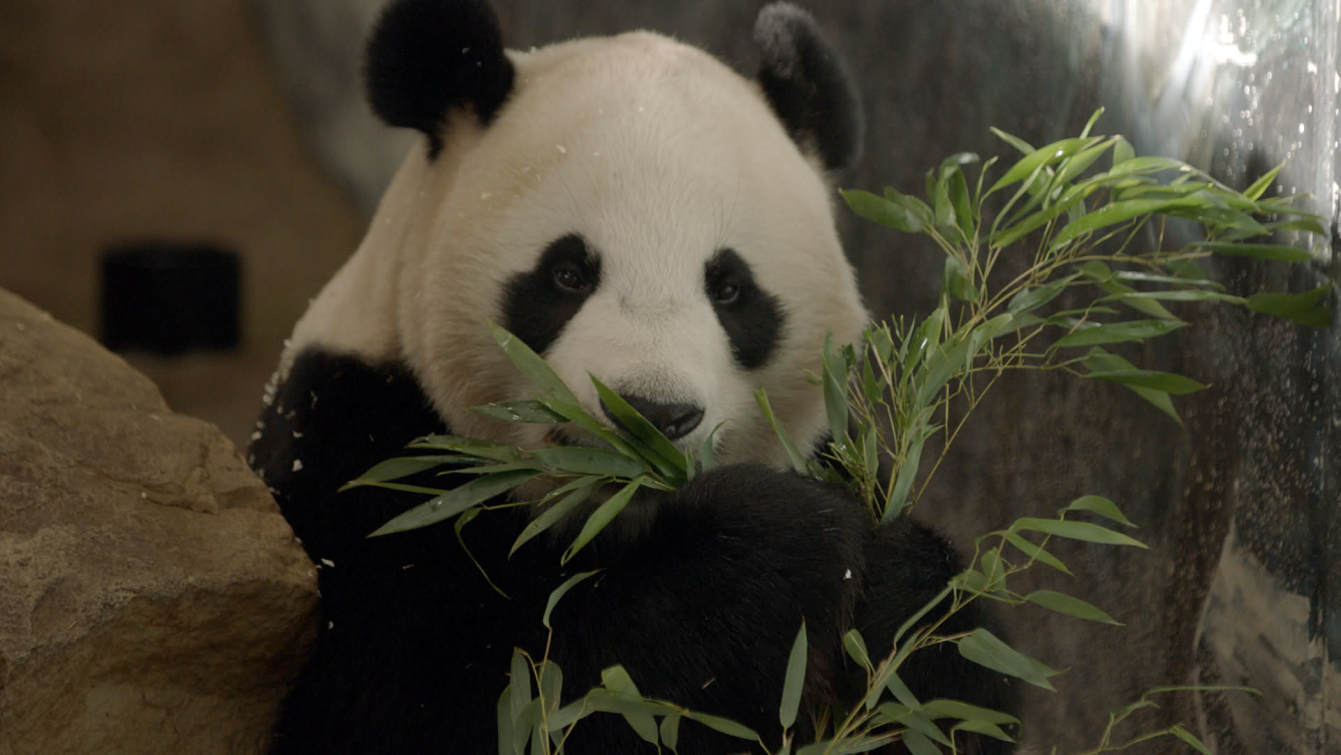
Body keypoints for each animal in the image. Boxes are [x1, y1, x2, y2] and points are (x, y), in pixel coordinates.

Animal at [249, 1, 1013, 755]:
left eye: (730, 289)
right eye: (566, 274)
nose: (652, 413)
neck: (615, 518)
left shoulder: (835, 447)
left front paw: (905, 599)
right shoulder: (362, 455)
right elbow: (440, 702)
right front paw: (772, 551)